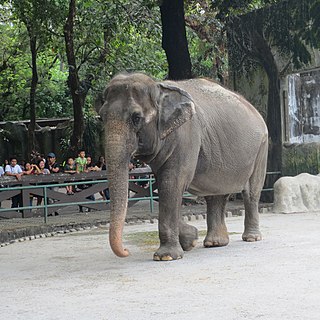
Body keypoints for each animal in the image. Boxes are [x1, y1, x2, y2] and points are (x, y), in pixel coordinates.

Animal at [97, 72, 268, 260]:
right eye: (101, 117)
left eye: (136, 118)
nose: (127, 251)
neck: (158, 87)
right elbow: (166, 185)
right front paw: (190, 240)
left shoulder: (187, 135)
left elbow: (172, 183)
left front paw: (166, 256)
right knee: (216, 194)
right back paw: (215, 243)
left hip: (262, 147)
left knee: (251, 192)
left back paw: (251, 238)